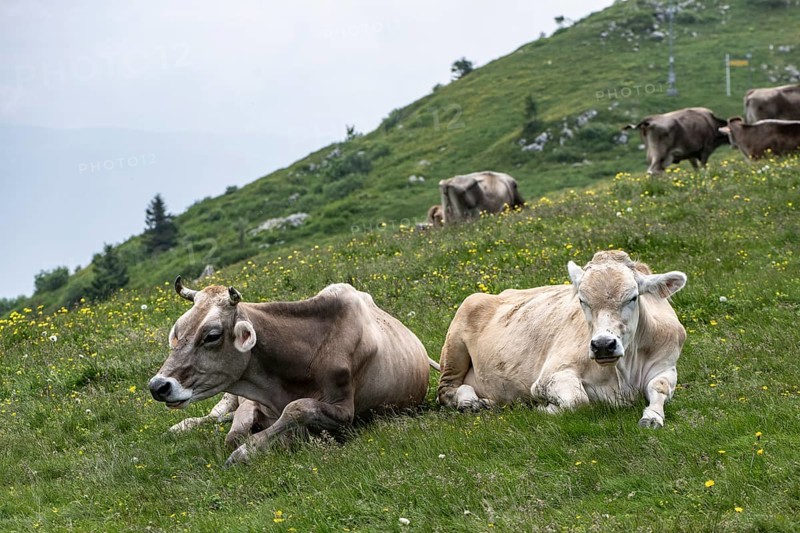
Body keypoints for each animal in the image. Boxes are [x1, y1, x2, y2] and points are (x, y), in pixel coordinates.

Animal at [149, 278, 438, 465]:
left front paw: (248, 451)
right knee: (216, 416)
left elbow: (297, 409)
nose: (158, 386)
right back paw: (180, 426)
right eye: (178, 330)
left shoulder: (345, 411)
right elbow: (234, 433)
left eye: (211, 335)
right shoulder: (249, 402)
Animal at [437, 250, 687, 428]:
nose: (603, 345)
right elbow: (578, 400)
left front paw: (652, 417)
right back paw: (470, 401)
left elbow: (660, 386)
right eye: (582, 300)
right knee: (446, 390)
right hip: (454, 348)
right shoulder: (549, 376)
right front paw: (539, 408)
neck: (623, 372)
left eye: (633, 297)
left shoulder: (666, 363)